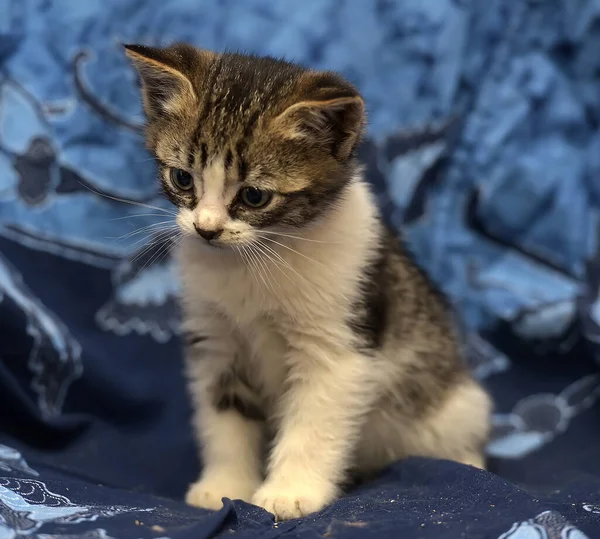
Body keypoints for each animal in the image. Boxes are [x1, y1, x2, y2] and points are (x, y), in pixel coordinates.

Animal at [124, 43, 490, 524]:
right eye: (182, 178)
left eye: (254, 196)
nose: (206, 229)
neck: (255, 260)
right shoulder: (216, 340)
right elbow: (225, 413)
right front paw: (225, 485)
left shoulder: (338, 348)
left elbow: (314, 422)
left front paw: (289, 493)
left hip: (447, 397)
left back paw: (465, 462)